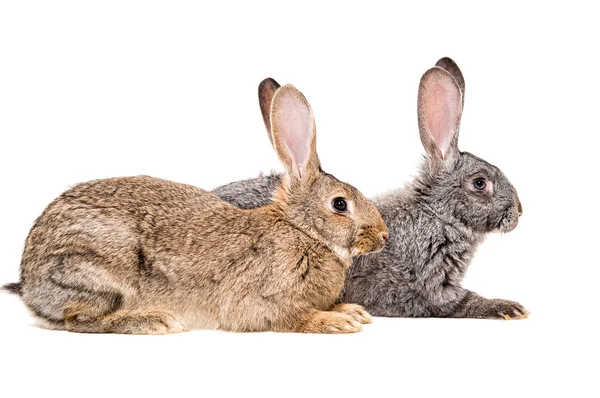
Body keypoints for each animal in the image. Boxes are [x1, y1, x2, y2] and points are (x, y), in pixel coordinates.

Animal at [3, 83, 390, 332]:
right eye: (340, 204)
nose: (384, 235)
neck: (303, 231)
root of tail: (31, 284)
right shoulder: (266, 299)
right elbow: (292, 317)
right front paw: (338, 320)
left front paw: (352, 311)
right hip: (96, 269)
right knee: (80, 319)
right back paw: (153, 320)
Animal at [213, 58, 528, 320]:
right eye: (480, 183)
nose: (519, 212)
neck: (436, 216)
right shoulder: (424, 288)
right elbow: (461, 302)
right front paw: (506, 307)